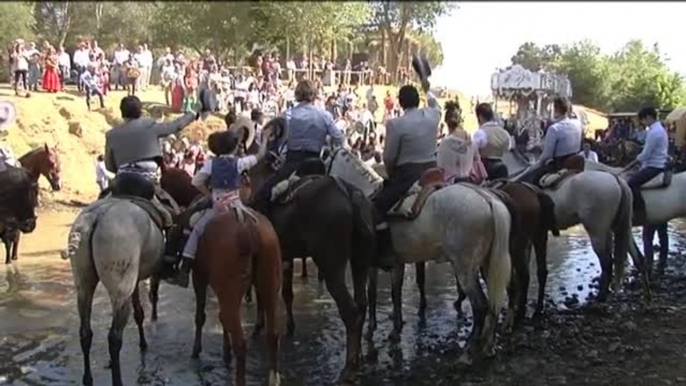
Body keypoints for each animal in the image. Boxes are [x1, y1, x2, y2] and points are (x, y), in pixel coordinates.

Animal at [63, 188, 168, 384]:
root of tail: (95, 217)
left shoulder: (136, 279)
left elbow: (139, 312)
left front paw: (143, 342)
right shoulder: (152, 273)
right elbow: (152, 296)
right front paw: (153, 323)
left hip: (84, 285)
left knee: (85, 332)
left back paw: (88, 378)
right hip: (120, 289)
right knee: (114, 337)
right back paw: (117, 379)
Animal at [189, 208, 284, 386]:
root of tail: (250, 227)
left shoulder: (199, 277)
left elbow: (200, 316)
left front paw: (197, 350)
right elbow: (220, 318)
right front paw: (225, 351)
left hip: (229, 291)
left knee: (240, 342)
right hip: (269, 285)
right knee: (272, 333)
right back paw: (273, 377)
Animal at [326, 147, 512, 362]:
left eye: (325, 161)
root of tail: (487, 199)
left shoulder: (370, 263)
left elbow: (372, 294)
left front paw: (371, 328)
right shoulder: (397, 263)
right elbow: (396, 292)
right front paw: (396, 328)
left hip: (465, 269)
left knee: (480, 306)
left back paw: (467, 351)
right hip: (488, 265)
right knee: (494, 303)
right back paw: (489, 346)